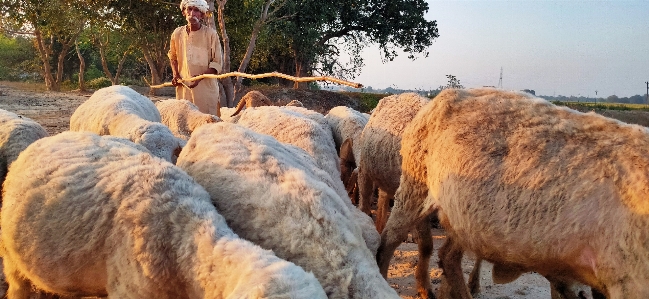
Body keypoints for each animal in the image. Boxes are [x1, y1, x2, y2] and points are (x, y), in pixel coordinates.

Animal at [374, 88, 648, 299]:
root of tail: (438, 98)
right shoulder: (627, 279)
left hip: (462, 217)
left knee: (449, 257)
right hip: (414, 185)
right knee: (389, 240)